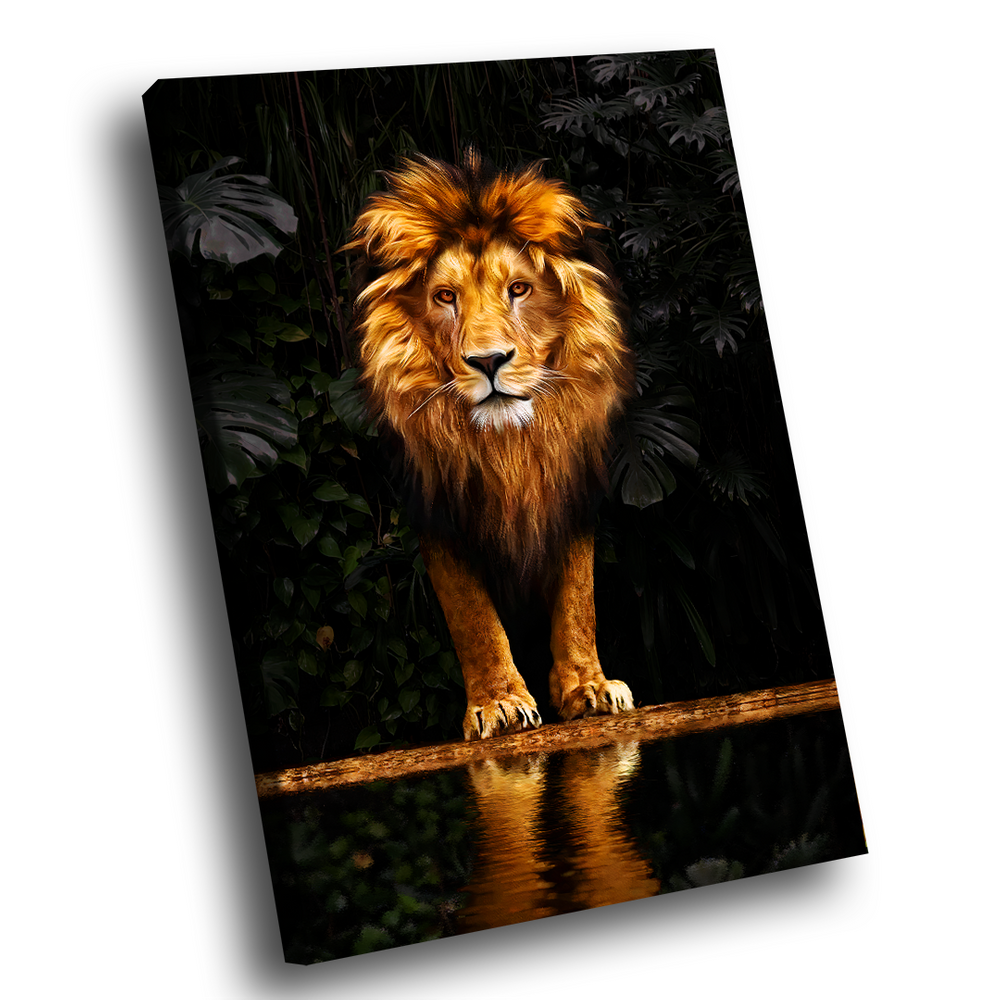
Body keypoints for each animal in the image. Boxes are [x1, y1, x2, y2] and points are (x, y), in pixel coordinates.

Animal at [344, 150, 635, 740]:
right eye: (445, 297)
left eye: (519, 290)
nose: (488, 361)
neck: (510, 448)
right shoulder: (437, 508)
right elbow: (472, 615)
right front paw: (499, 701)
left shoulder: (571, 490)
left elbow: (579, 599)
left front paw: (588, 687)